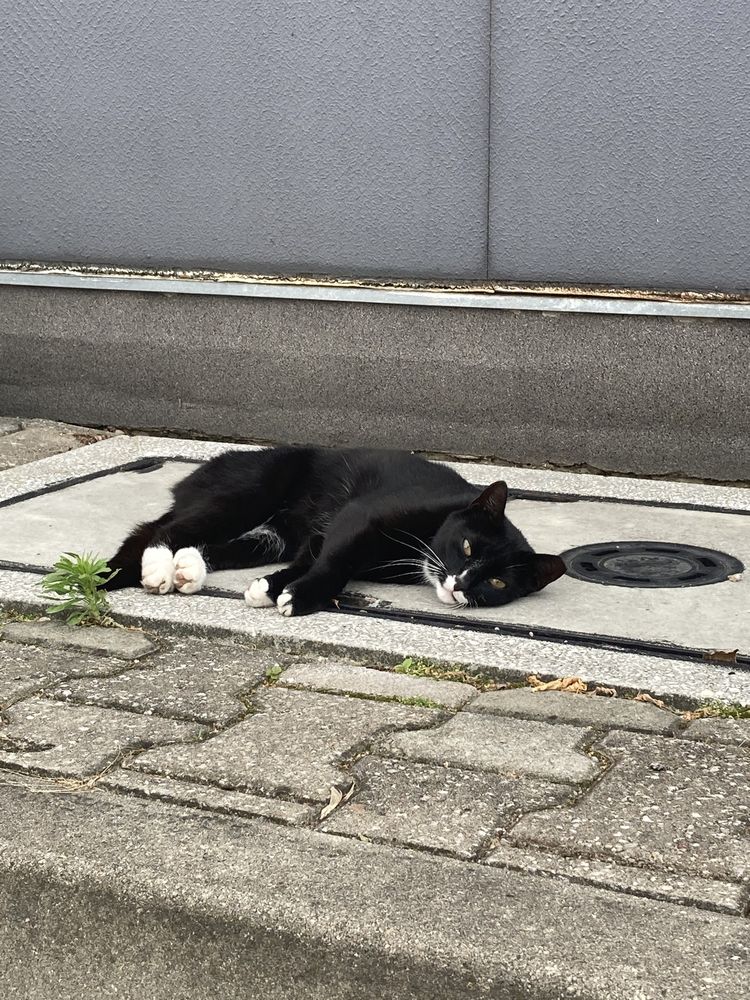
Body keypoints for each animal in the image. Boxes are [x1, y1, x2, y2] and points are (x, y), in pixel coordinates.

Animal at [104, 448, 564, 616]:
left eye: (497, 582)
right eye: (467, 547)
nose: (460, 584)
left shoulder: (321, 537)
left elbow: (312, 557)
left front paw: (271, 588)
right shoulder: (359, 517)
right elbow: (336, 563)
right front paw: (302, 598)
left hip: (275, 534)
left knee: (229, 543)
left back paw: (187, 569)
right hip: (248, 492)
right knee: (165, 528)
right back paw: (155, 566)